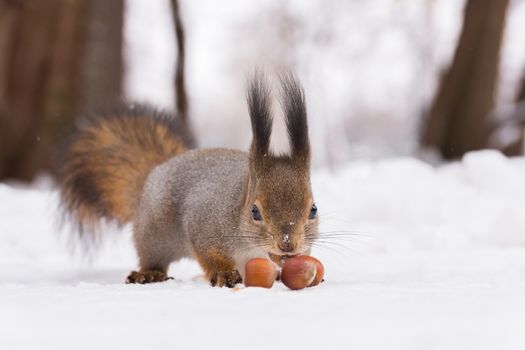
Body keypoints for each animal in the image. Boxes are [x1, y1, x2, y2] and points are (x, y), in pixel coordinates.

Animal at [57, 73, 320, 288]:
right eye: (255, 212)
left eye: (313, 210)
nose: (287, 244)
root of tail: (156, 171)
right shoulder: (204, 226)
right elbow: (207, 254)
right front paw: (223, 273)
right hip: (155, 234)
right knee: (151, 256)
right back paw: (149, 273)